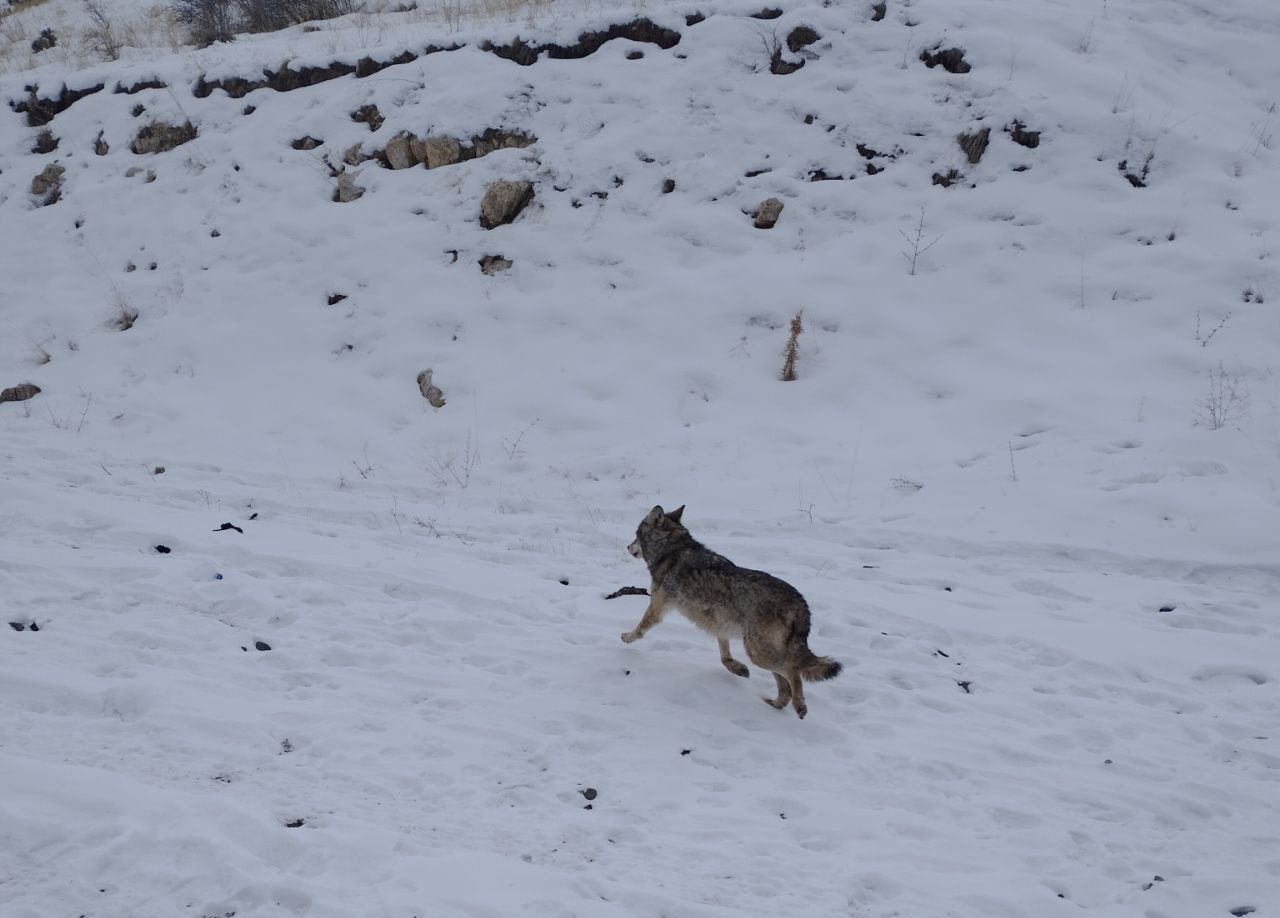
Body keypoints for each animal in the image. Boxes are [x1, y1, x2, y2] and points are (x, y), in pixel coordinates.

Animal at [619, 504, 839, 722]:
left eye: (636, 534)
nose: (628, 547)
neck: (672, 549)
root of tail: (800, 602)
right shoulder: (719, 625)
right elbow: (724, 657)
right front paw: (738, 669)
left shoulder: (657, 607)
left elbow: (640, 629)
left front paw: (626, 637)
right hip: (762, 652)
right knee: (785, 685)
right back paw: (775, 704)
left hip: (758, 653)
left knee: (793, 672)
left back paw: (800, 706)